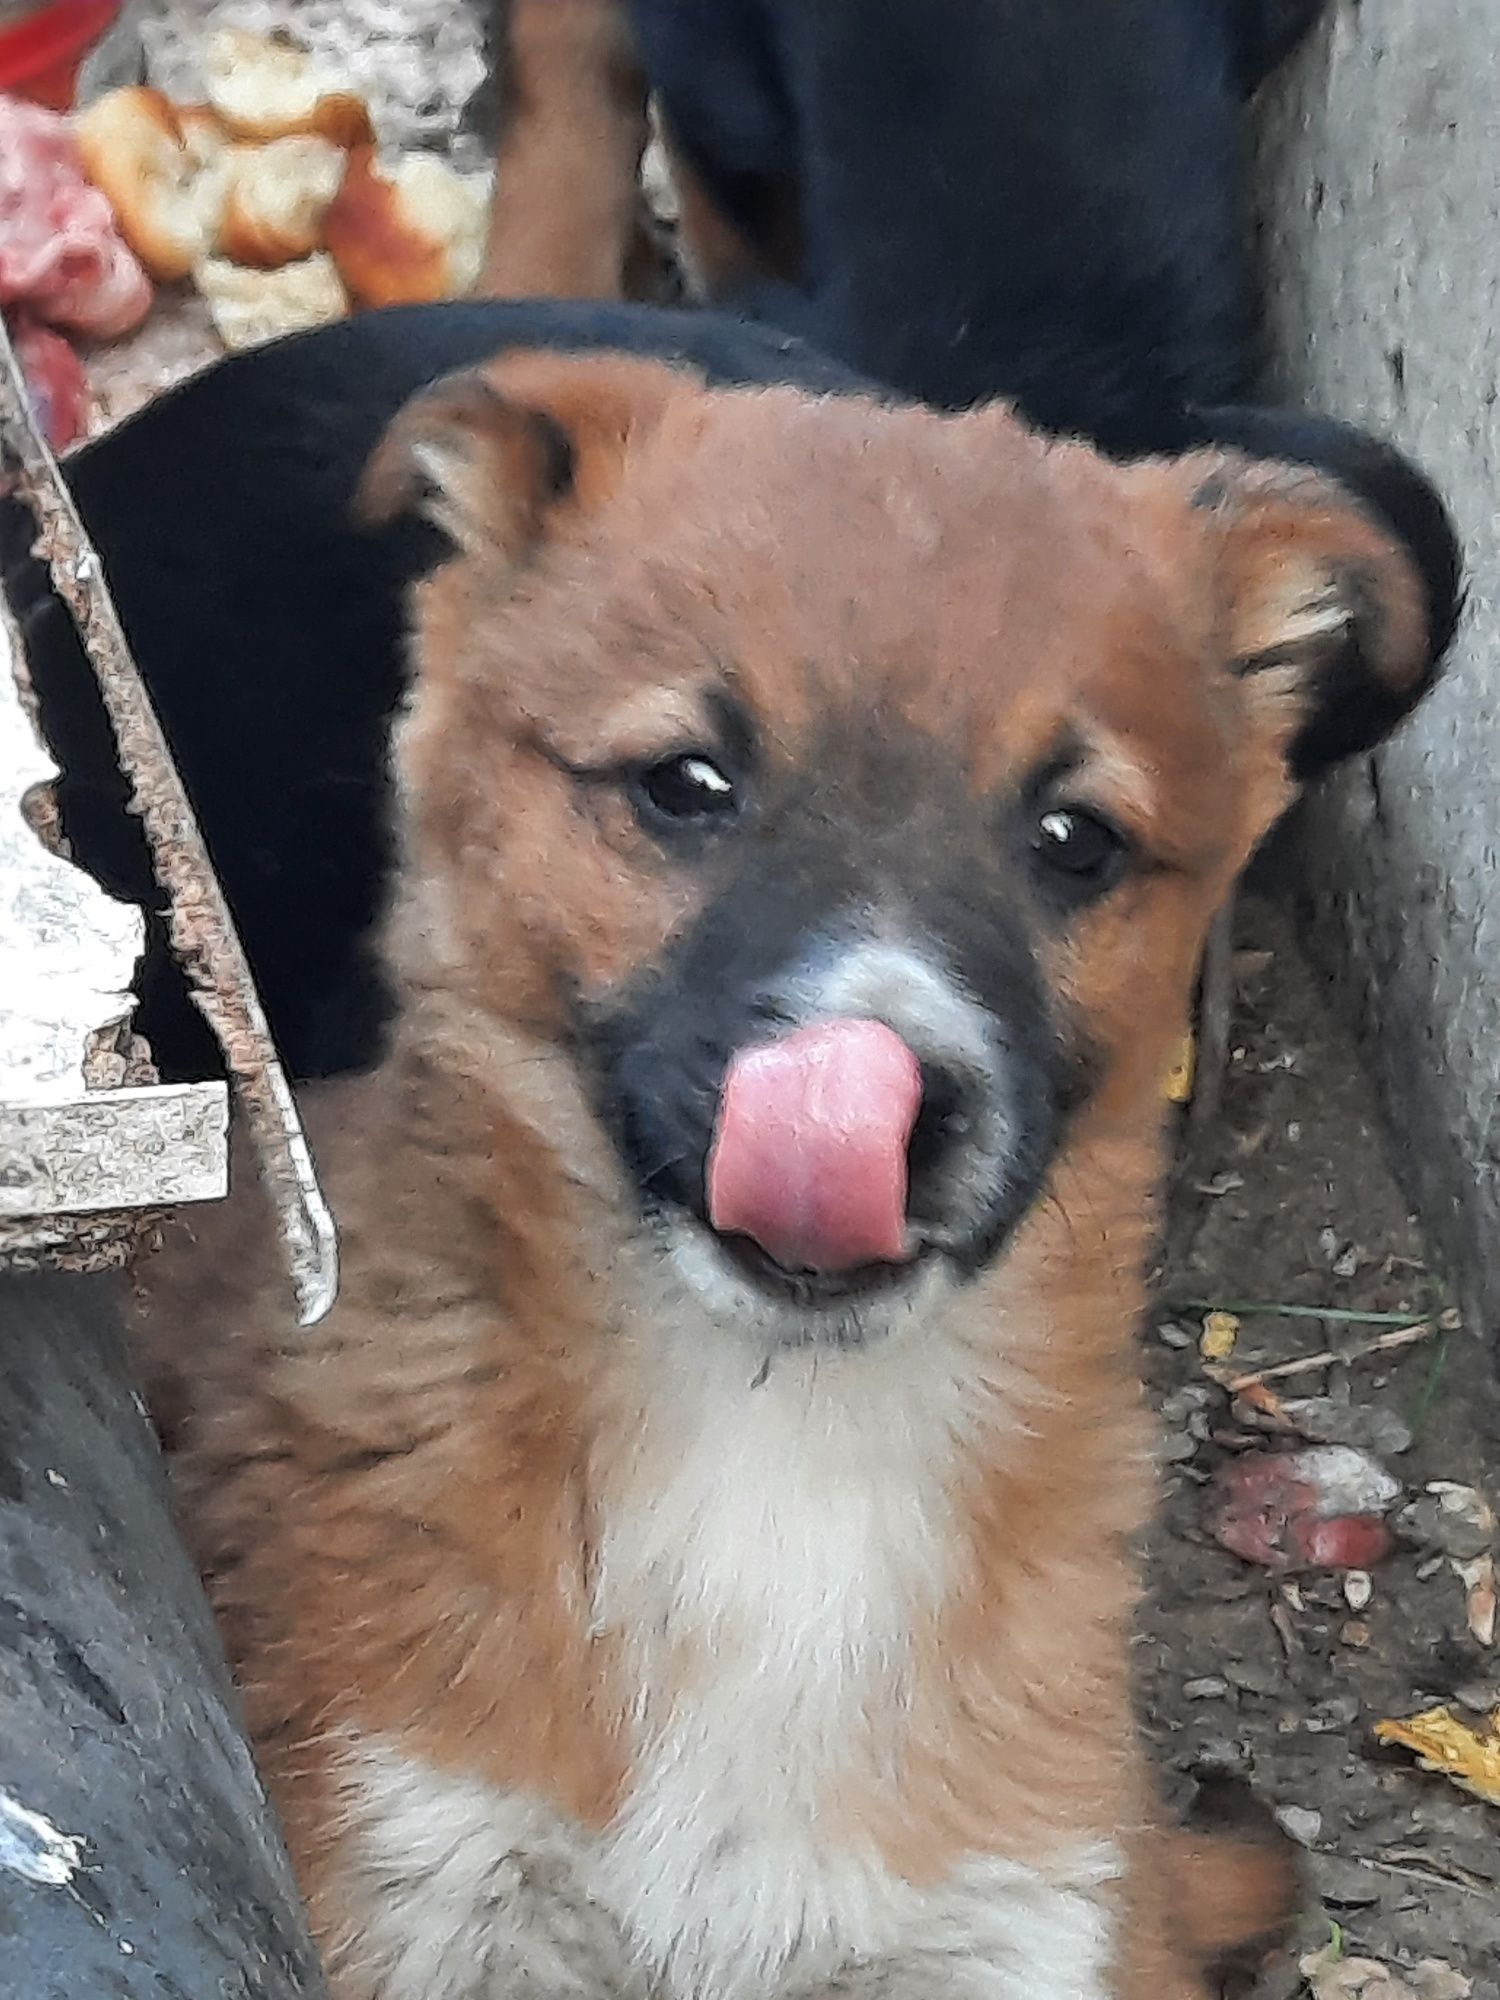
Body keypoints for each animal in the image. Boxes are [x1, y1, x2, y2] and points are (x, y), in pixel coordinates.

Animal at [135, 352, 1440, 1992]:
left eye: (1075, 838)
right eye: (686, 783)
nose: (883, 1102)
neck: (775, 1453)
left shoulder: (1020, 1918)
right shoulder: (408, 1869)